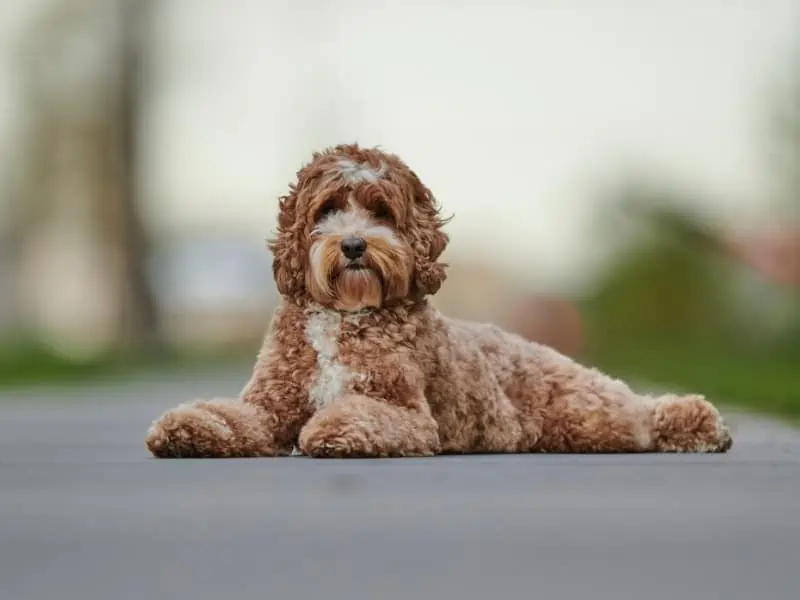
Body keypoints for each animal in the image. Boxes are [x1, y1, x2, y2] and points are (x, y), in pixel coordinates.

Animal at [147, 143, 736, 458]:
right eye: (327, 209)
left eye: (382, 210)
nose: (354, 245)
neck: (345, 317)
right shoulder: (269, 404)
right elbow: (231, 416)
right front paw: (187, 429)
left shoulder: (406, 413)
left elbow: (359, 415)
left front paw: (331, 430)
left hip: (590, 413)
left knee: (642, 413)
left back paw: (703, 425)